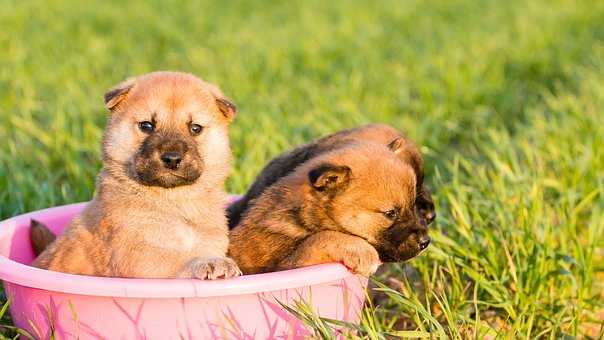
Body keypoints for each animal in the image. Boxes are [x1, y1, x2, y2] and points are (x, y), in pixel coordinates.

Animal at [31, 71, 241, 278]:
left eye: (195, 128)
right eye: (146, 126)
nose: (172, 158)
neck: (175, 202)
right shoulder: (139, 257)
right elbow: (177, 262)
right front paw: (210, 263)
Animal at [229, 141, 432, 276]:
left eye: (412, 205)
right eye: (390, 213)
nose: (426, 242)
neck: (301, 218)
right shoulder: (284, 265)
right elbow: (319, 239)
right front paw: (362, 251)